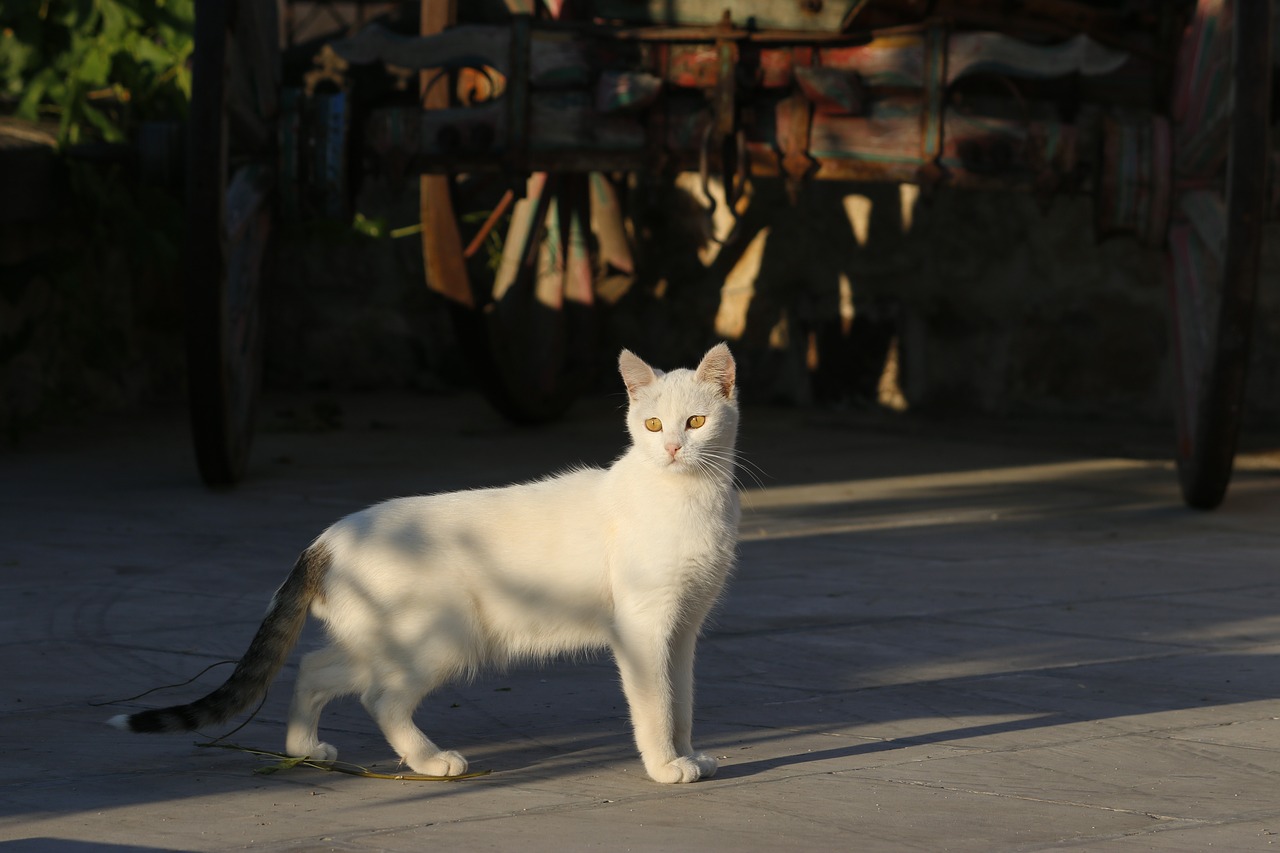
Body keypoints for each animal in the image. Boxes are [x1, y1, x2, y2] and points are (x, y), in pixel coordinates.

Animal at [117, 343, 747, 778]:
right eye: (652, 424)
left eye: (695, 422)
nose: (672, 449)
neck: (689, 498)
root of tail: (326, 539)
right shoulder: (643, 628)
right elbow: (654, 704)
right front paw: (665, 767)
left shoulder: (682, 629)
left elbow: (681, 700)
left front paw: (690, 755)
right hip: (443, 636)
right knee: (379, 697)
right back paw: (429, 761)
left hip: (383, 640)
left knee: (314, 669)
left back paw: (306, 749)